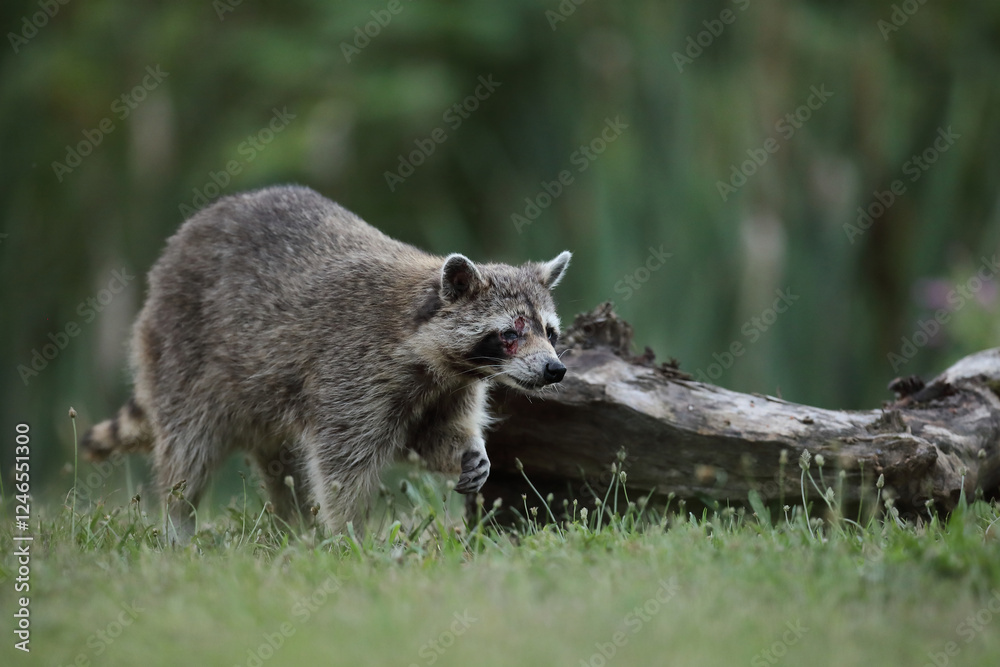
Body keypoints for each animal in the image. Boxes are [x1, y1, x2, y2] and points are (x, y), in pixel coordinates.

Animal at [82, 185, 570, 538]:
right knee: (188, 450)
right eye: (511, 334)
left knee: (282, 464)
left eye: (549, 332)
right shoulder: (351, 370)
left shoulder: (449, 387)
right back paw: (181, 524)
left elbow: (429, 436)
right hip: (182, 352)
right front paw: (348, 535)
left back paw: (295, 530)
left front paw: (468, 451)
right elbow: (342, 463)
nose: (555, 370)